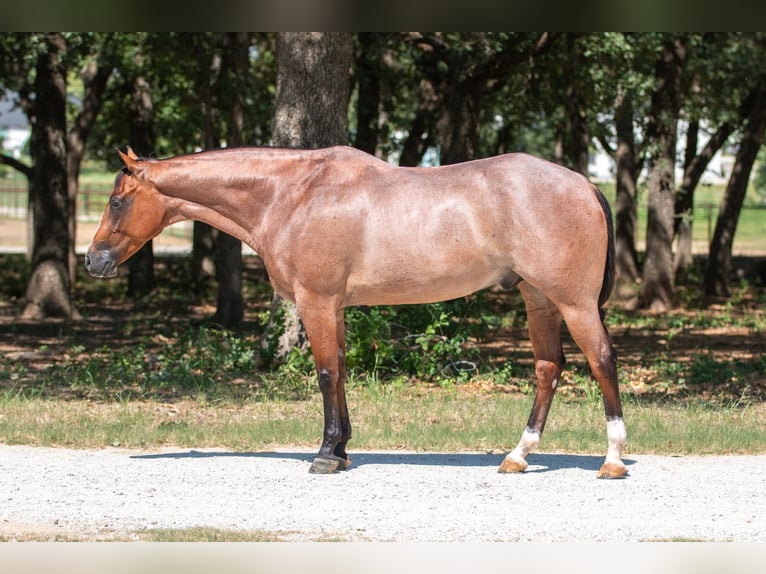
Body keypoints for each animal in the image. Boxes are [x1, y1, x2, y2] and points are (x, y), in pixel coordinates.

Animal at [85, 146, 627, 478]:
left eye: (116, 201)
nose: (93, 260)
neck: (292, 194)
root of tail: (583, 184)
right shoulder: (336, 307)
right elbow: (342, 371)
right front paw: (342, 449)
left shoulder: (316, 302)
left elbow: (326, 374)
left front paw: (326, 454)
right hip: (539, 300)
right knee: (548, 368)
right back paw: (517, 456)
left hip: (574, 303)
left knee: (601, 360)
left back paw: (613, 459)